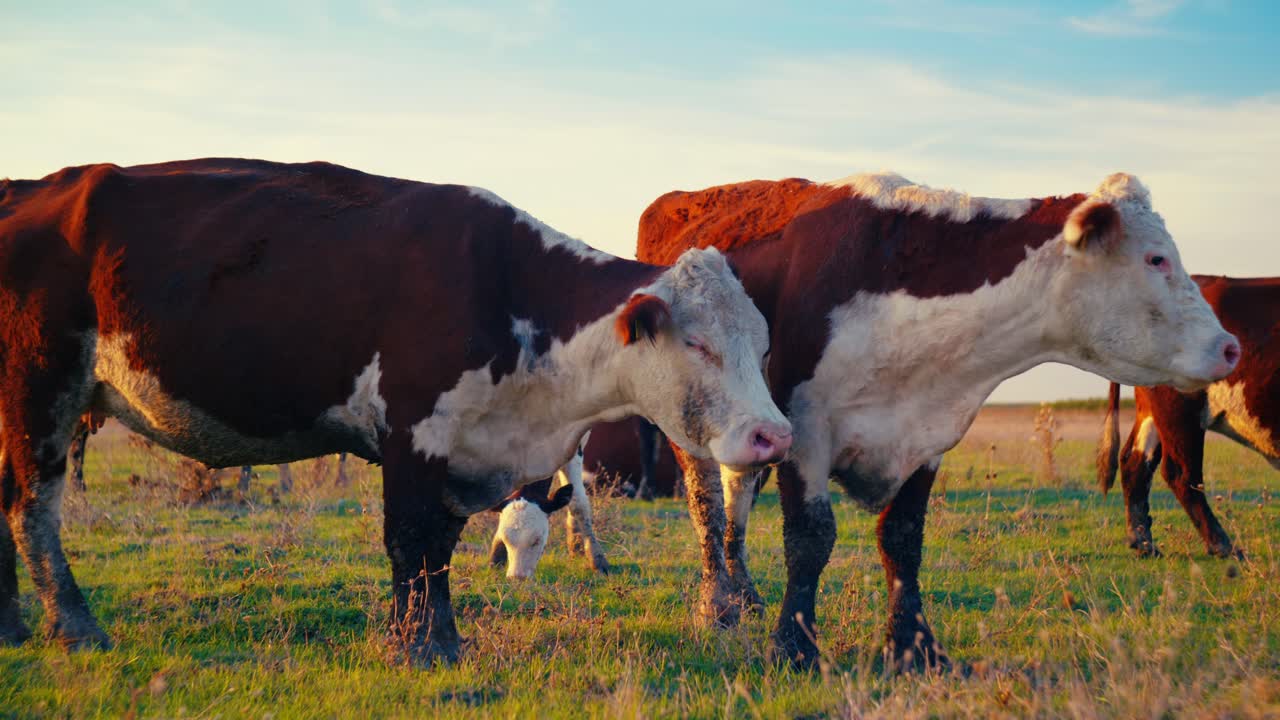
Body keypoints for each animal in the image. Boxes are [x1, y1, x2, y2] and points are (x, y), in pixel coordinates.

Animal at [0, 158, 791, 665]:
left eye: (761, 343)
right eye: (697, 342)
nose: (773, 434)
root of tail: (28, 189)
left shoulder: (461, 449)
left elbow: (437, 550)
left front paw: (440, 638)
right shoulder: (414, 433)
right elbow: (410, 542)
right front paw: (416, 647)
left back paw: (10, 627)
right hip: (41, 392)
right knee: (31, 507)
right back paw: (74, 626)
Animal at [636, 171, 1239, 670]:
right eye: (1157, 259)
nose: (1230, 347)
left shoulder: (924, 434)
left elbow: (903, 538)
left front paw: (915, 647)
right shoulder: (805, 431)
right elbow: (809, 538)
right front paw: (794, 648)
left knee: (738, 497)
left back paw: (745, 596)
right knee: (709, 505)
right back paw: (720, 604)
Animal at [1097, 275, 1279, 559]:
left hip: (1154, 413)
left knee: (1135, 463)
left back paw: (1144, 544)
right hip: (1180, 412)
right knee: (1182, 474)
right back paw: (1223, 546)